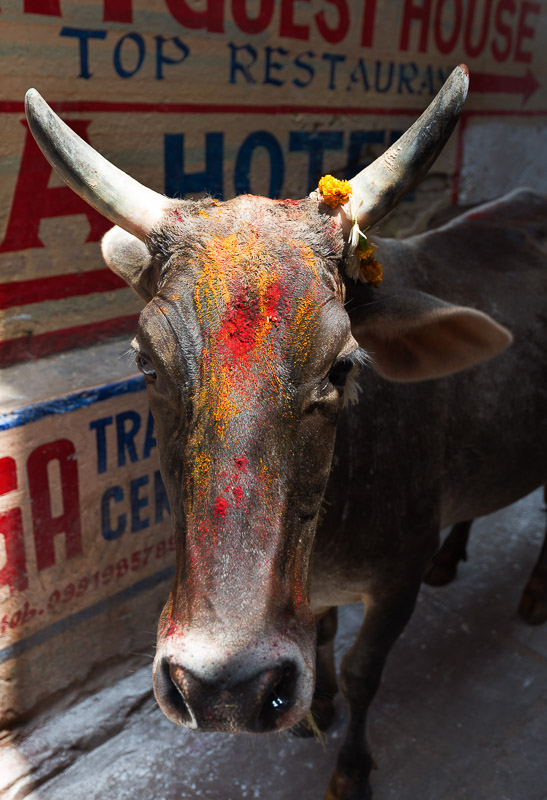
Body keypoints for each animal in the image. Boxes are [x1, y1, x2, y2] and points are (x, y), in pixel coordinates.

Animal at [24, 64, 547, 800]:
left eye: (342, 365)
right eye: (145, 361)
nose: (224, 688)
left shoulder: (398, 579)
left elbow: (362, 672)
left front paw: (350, 768)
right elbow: (323, 638)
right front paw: (317, 702)